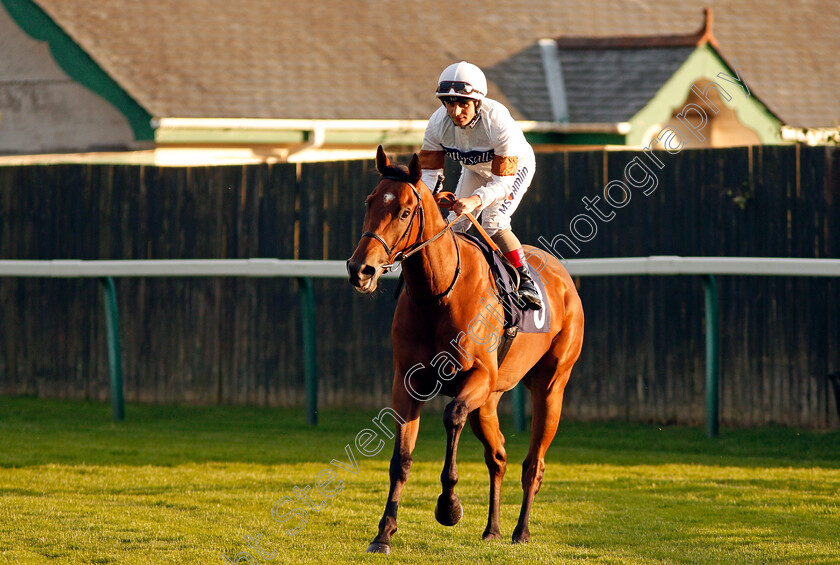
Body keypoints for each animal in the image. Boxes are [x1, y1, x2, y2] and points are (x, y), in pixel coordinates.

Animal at [348, 147, 584, 556]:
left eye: (405, 212)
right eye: (369, 202)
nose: (360, 269)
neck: (438, 293)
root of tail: (564, 278)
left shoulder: (477, 377)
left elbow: (452, 415)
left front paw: (449, 506)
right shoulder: (407, 383)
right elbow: (401, 459)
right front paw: (383, 533)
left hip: (550, 386)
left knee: (533, 463)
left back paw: (521, 531)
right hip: (489, 401)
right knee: (499, 456)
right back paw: (493, 529)